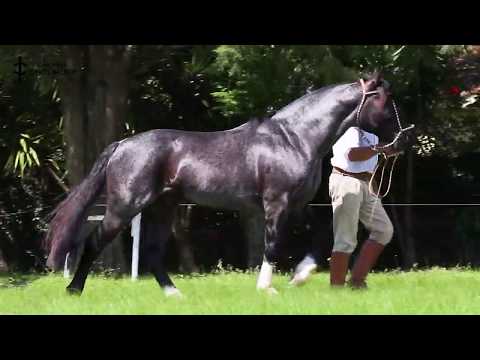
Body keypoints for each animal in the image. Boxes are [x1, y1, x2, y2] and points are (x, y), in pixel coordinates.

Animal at [43, 70, 414, 296]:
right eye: (385, 102)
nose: (402, 141)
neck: (294, 139)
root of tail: (122, 144)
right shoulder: (276, 203)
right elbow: (271, 244)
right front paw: (267, 288)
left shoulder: (298, 205)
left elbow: (322, 236)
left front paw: (300, 274)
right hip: (125, 206)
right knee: (94, 242)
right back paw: (73, 291)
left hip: (164, 205)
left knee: (151, 251)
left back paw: (175, 295)